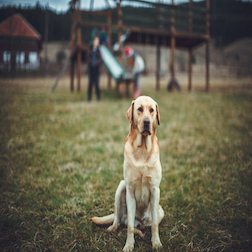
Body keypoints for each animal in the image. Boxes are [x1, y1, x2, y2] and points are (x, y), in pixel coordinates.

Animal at [91, 95, 164, 251]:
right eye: (140, 109)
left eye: (151, 110)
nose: (147, 122)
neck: (142, 148)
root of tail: (140, 221)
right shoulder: (130, 191)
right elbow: (129, 226)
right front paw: (129, 245)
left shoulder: (156, 190)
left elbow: (155, 225)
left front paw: (156, 243)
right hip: (121, 187)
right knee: (120, 220)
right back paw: (114, 228)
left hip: (160, 210)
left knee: (146, 225)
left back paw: (141, 232)